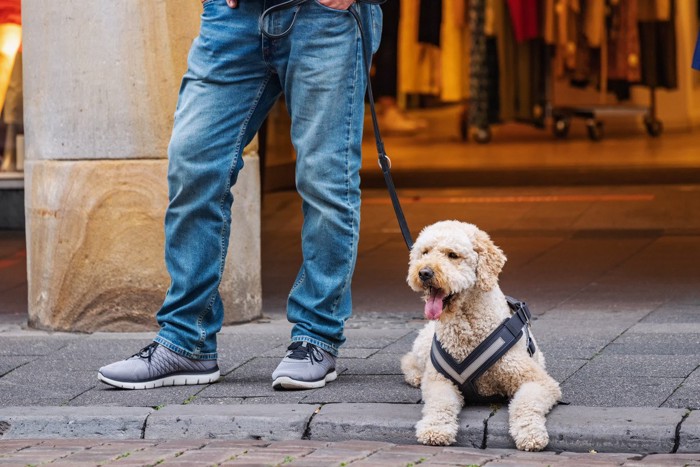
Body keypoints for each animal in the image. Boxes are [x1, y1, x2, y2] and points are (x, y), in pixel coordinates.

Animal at [402, 221, 560, 452]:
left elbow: (525, 404)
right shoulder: (440, 380)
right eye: (425, 252)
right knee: (408, 360)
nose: (424, 272)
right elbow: (439, 403)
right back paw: (415, 376)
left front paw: (530, 432)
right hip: (424, 347)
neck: (467, 327)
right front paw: (435, 429)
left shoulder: (537, 380)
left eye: (452, 255)